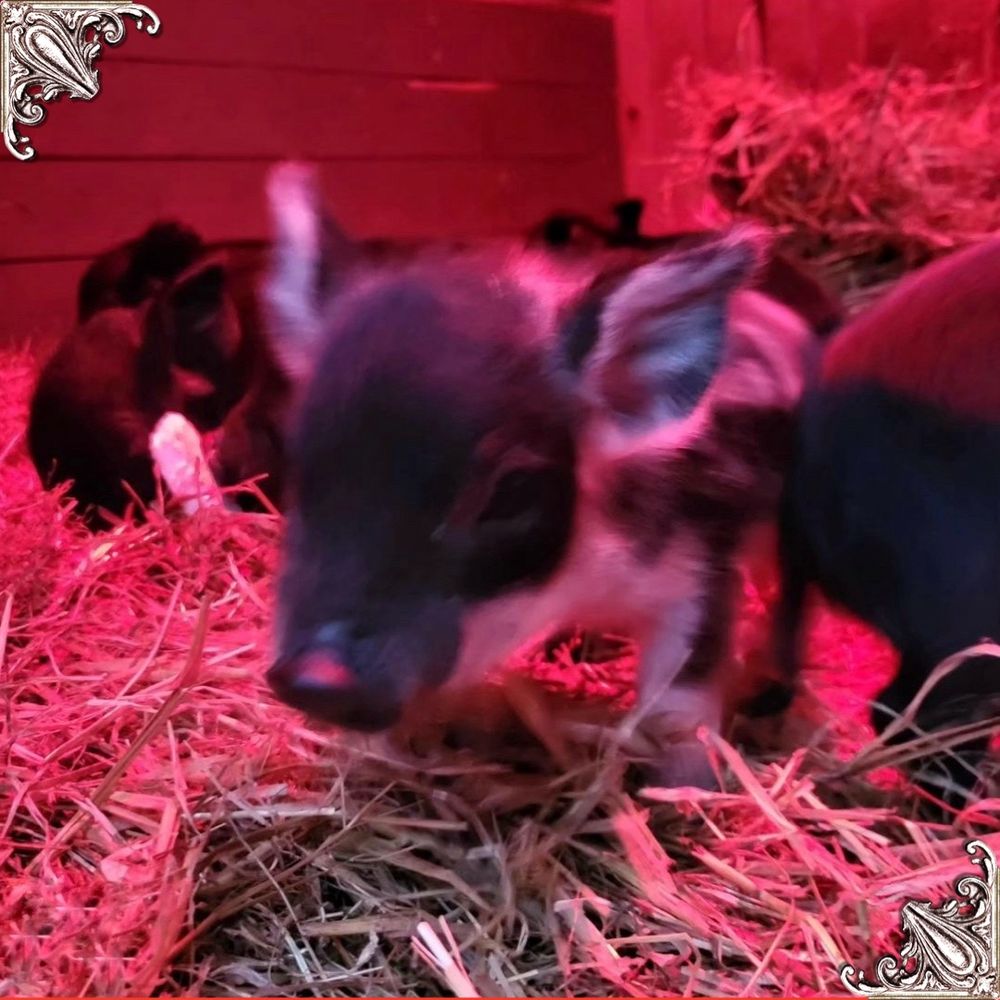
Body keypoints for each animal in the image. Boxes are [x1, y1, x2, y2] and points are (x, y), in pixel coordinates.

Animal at [262, 163, 830, 784]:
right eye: (297, 460)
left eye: (508, 492)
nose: (315, 678)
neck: (584, 582)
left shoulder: (706, 558)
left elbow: (680, 699)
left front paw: (688, 789)